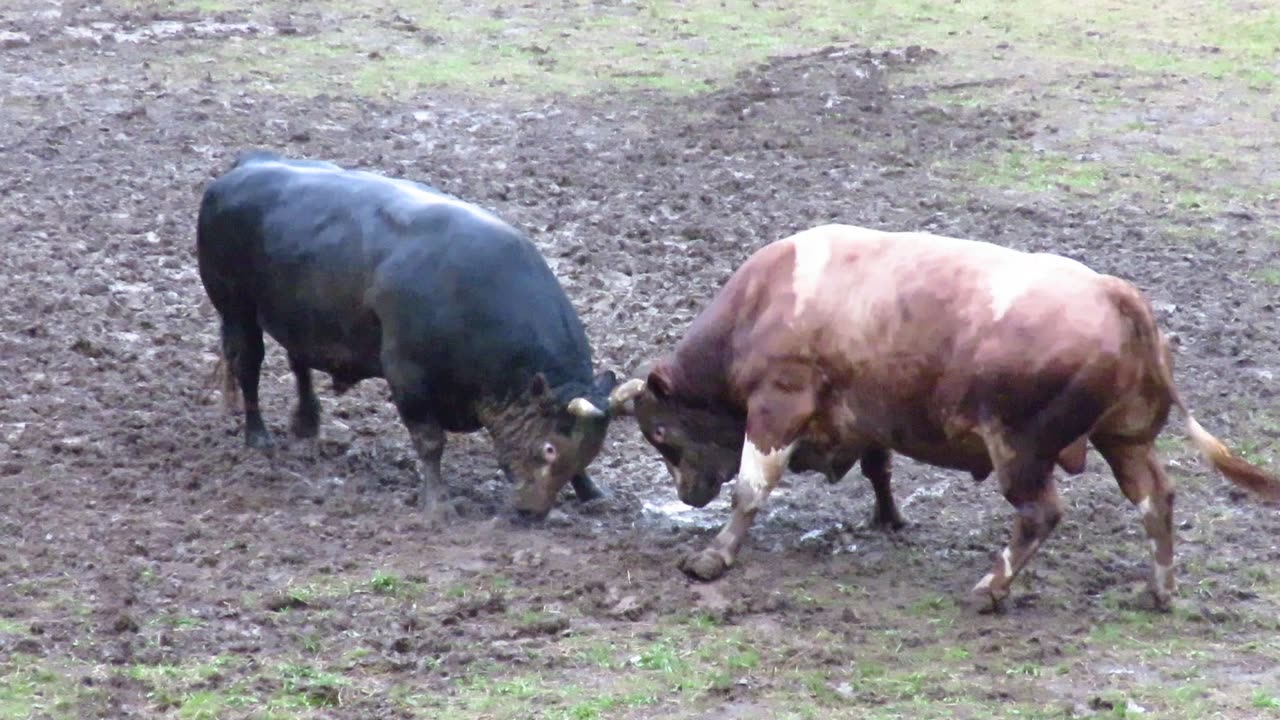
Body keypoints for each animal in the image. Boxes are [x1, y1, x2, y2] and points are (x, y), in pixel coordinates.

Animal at [609, 221, 1280, 607]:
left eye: (662, 434)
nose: (688, 494)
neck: (765, 301)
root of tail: (1116, 295)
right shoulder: (866, 412)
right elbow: (878, 467)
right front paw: (888, 517)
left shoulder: (778, 405)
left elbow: (751, 488)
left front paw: (713, 555)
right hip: (1124, 437)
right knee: (1154, 499)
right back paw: (1159, 590)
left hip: (1020, 448)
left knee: (1041, 514)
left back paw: (992, 588)